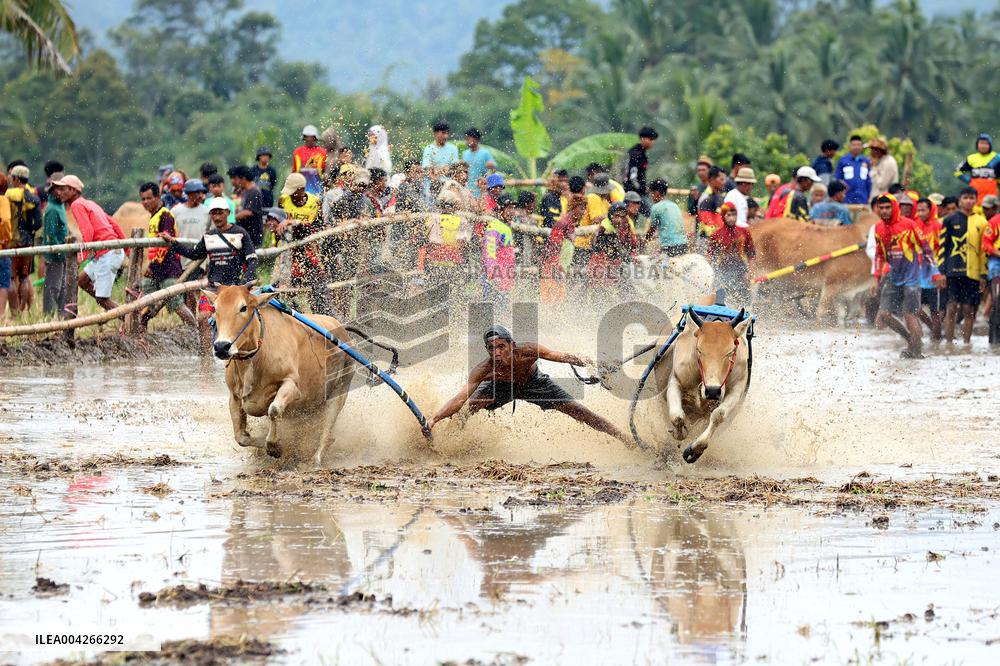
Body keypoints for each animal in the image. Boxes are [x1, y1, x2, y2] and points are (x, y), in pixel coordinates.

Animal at [203, 284, 356, 465]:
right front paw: (267, 443)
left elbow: (274, 410)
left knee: (327, 429)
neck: (256, 356)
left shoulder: (292, 387)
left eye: (243, 308)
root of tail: (343, 331)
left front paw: (275, 447)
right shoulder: (234, 397)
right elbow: (241, 438)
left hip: (339, 391)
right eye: (215, 308)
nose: (221, 347)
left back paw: (316, 459)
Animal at [653, 306, 751, 464]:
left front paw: (696, 448)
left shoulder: (737, 389)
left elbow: (718, 415)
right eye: (699, 350)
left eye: (730, 352)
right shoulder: (675, 381)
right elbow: (677, 417)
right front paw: (679, 434)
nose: (713, 391)